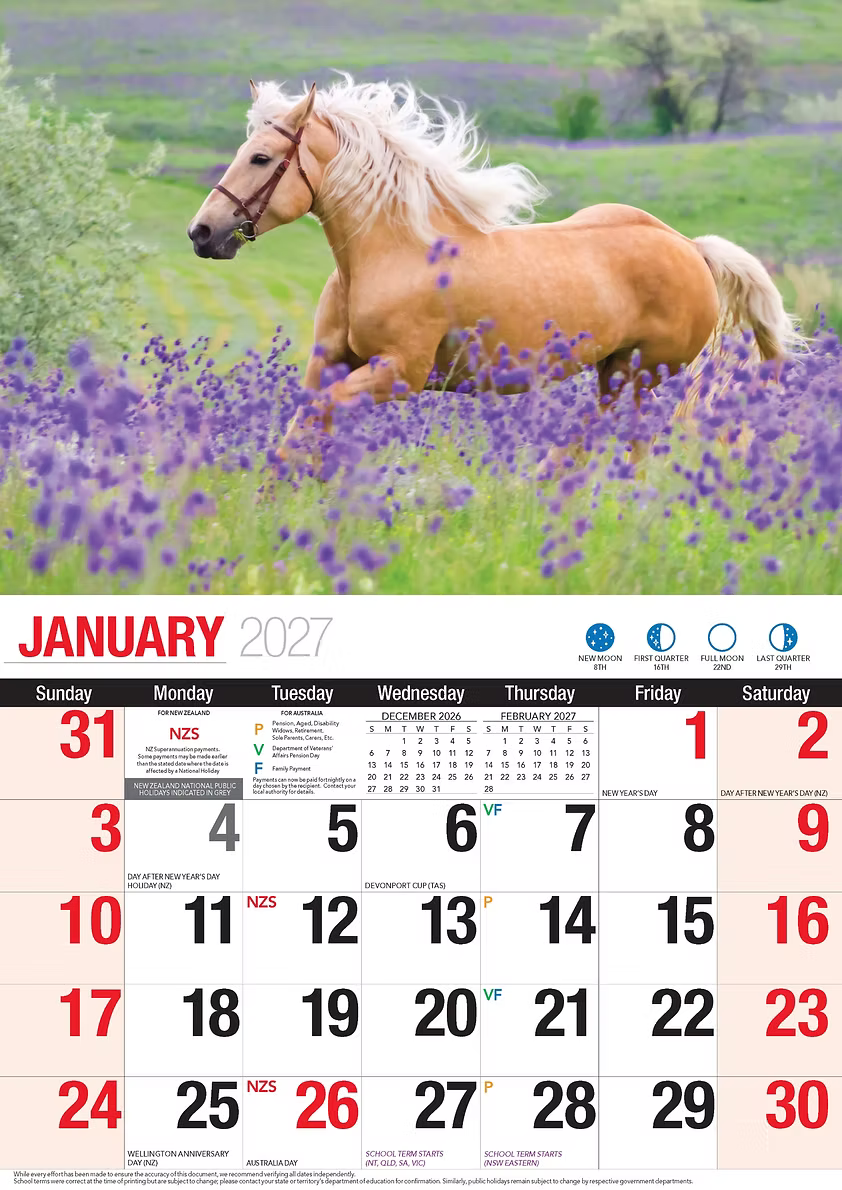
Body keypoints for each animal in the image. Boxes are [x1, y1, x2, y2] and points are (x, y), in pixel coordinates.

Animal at [187, 74, 802, 462]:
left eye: (261, 158)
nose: (202, 232)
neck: (392, 253)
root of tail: (689, 247)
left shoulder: (399, 374)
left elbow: (318, 422)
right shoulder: (332, 364)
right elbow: (301, 431)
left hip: (641, 374)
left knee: (615, 441)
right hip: (614, 372)